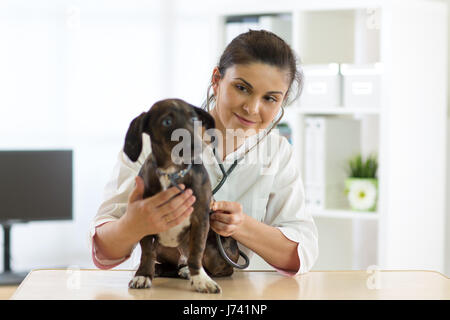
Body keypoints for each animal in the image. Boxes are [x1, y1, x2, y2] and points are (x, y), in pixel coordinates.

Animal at [123, 99, 239, 294]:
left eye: (194, 119)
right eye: (167, 122)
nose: (195, 146)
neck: (172, 172)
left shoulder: (200, 220)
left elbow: (196, 253)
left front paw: (201, 279)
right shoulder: (144, 219)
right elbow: (147, 252)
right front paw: (143, 275)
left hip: (215, 252)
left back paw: (189, 272)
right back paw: (162, 269)